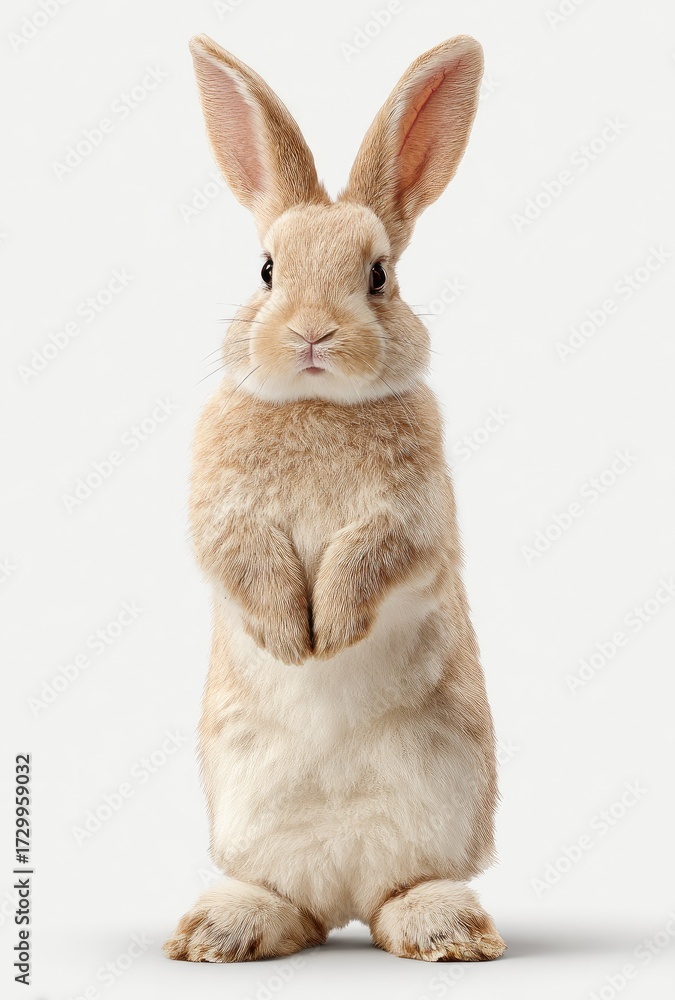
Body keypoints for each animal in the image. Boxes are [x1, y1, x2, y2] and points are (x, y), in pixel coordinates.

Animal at [164, 33, 505, 964]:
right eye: (266, 270)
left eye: (378, 276)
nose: (312, 334)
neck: (318, 404)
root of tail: (345, 898)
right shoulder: (224, 514)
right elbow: (246, 558)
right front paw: (294, 639)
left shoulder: (409, 515)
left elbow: (369, 555)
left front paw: (332, 633)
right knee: (291, 902)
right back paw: (224, 930)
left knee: (402, 892)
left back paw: (444, 930)